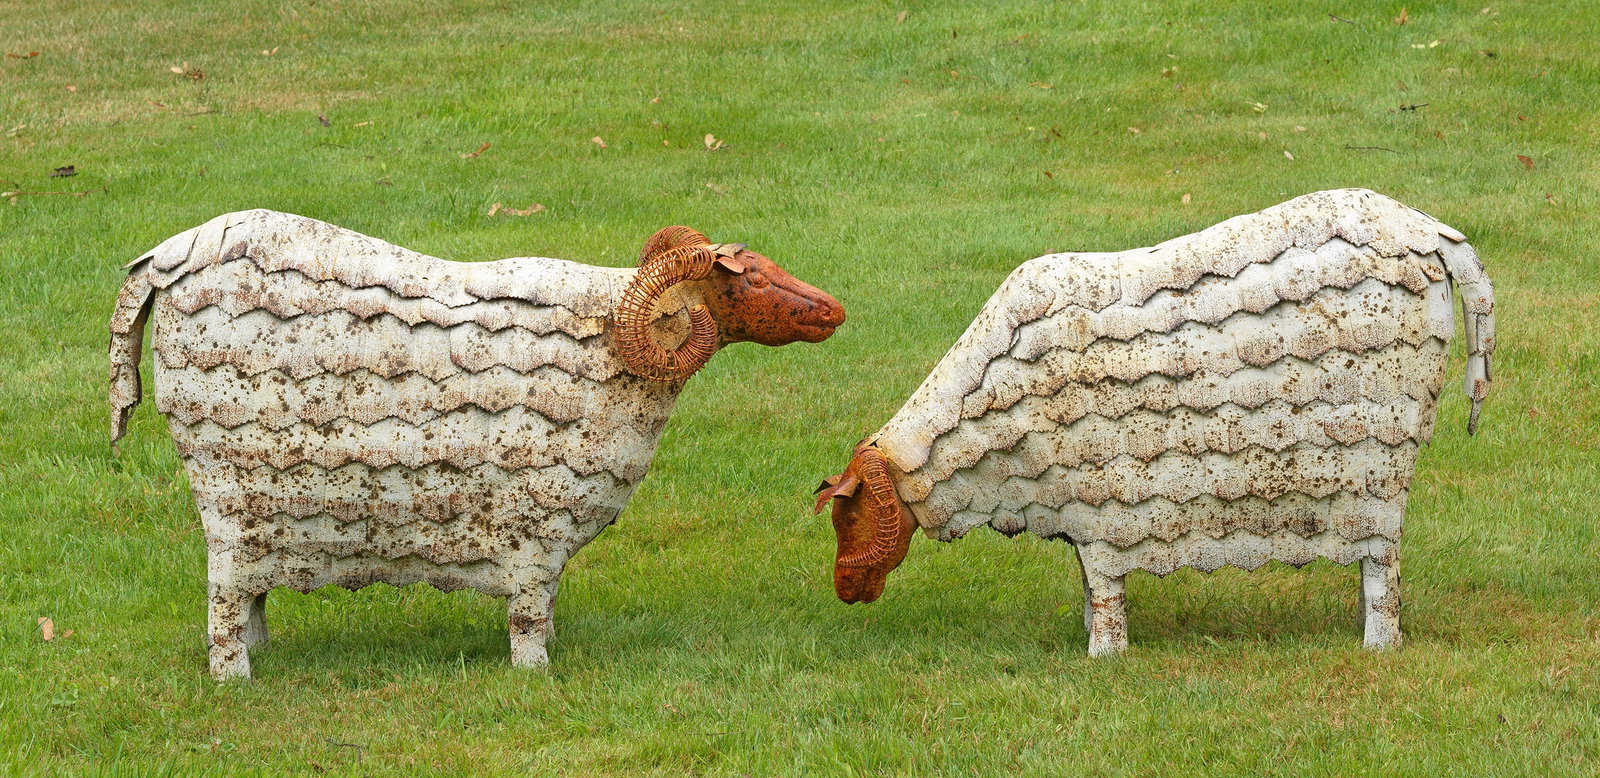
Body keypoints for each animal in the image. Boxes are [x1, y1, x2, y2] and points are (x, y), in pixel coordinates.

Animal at [110, 210, 845, 680]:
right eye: (748, 281)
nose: (835, 310)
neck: (610, 341)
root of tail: (166, 258)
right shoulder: (535, 531)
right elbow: (529, 615)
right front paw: (534, 674)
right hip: (229, 500)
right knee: (225, 599)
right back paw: (233, 675)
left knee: (250, 596)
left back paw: (260, 648)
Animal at [815, 189, 1494, 656]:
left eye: (849, 514)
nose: (843, 589)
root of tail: (1431, 232)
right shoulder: (1086, 516)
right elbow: (1090, 585)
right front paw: (1090, 631)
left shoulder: (1100, 514)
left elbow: (1106, 591)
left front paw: (1104, 656)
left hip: (1379, 472)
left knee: (1382, 570)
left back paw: (1378, 643)